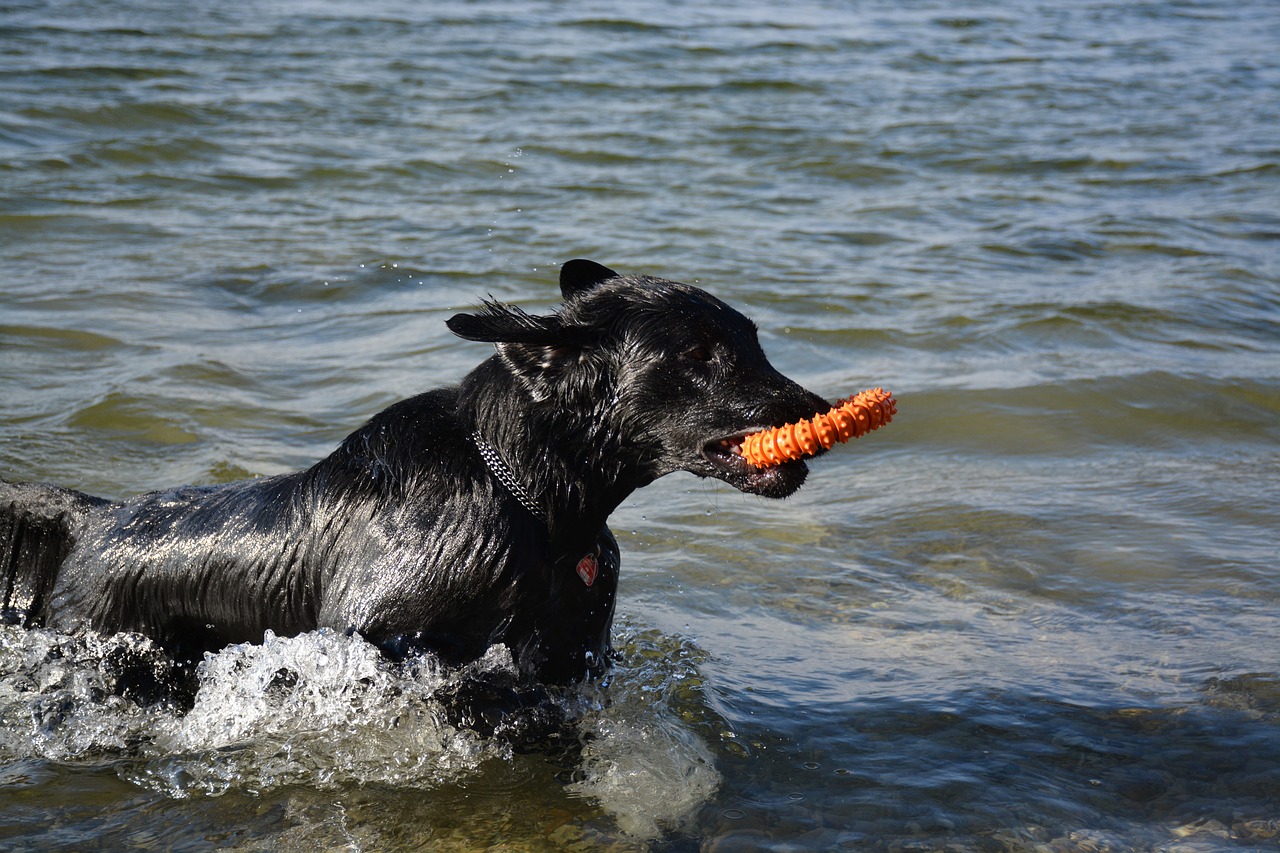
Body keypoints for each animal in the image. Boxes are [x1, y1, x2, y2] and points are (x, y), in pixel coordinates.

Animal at [0, 261, 829, 691]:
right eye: (697, 353)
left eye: (751, 338)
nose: (819, 407)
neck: (529, 503)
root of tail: (91, 517)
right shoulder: (378, 636)